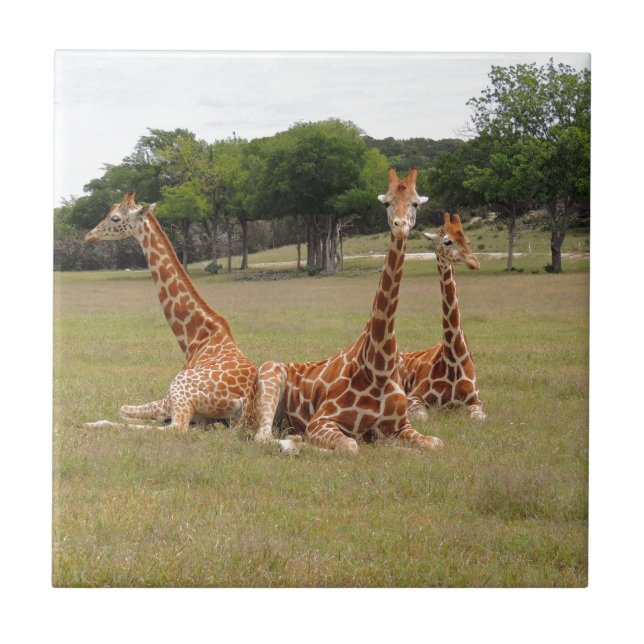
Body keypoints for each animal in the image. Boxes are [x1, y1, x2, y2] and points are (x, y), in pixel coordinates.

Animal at [82, 191, 262, 435]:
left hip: (180, 389)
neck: (195, 338)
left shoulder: (168, 399)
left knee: (175, 428)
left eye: (115, 218)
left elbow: (122, 408)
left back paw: (93, 423)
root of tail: (245, 401)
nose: (89, 236)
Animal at [253, 169, 444, 454]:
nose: (399, 226)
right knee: (262, 437)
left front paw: (402, 450)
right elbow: (351, 446)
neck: (378, 367)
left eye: (415, 203)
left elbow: (436, 444)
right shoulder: (321, 421)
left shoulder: (399, 427)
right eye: (386, 202)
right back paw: (294, 442)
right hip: (270, 374)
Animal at [401, 212, 485, 421]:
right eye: (447, 241)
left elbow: (478, 418)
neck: (454, 359)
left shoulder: (476, 400)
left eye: (467, 240)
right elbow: (422, 417)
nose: (474, 262)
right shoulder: (414, 397)